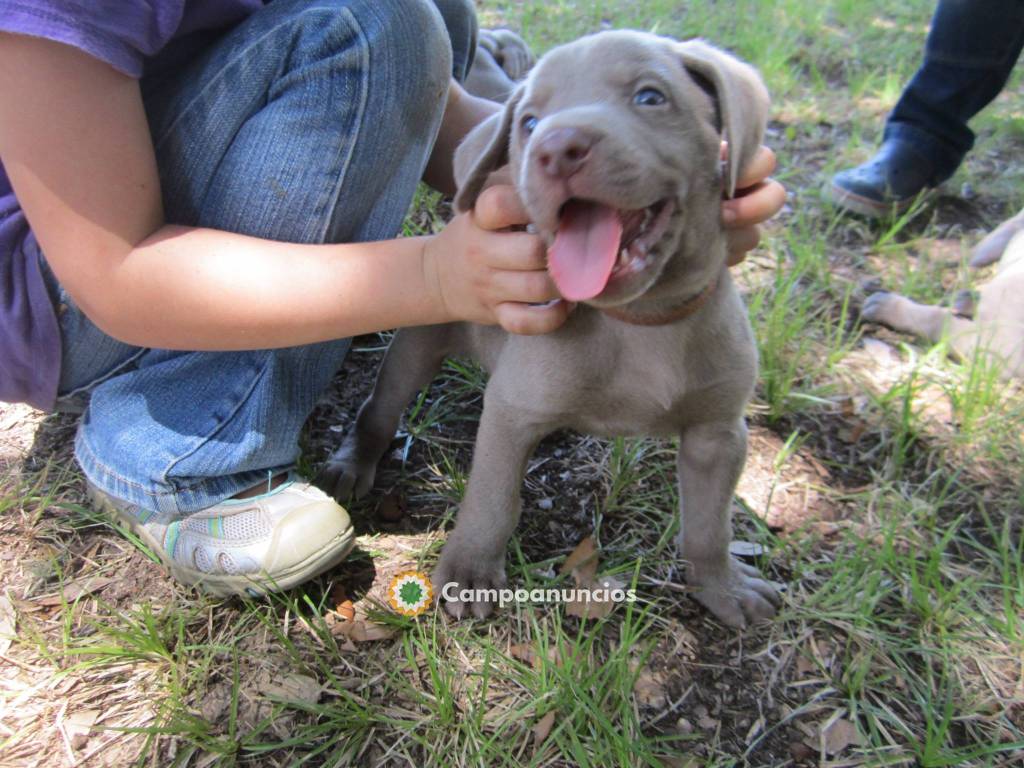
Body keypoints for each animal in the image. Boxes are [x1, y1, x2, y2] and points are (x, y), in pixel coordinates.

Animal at [323, 31, 778, 630]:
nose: (558, 148)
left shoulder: (719, 434)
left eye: (651, 97)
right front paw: (469, 573)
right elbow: (493, 500)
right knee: (380, 408)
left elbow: (710, 524)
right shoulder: (512, 412)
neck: (639, 321)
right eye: (531, 122)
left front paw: (723, 587)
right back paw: (352, 464)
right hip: (417, 347)